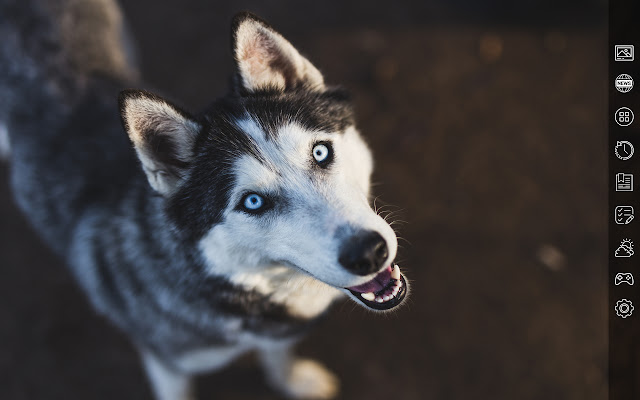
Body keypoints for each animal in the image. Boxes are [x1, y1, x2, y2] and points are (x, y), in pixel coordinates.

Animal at [0, 1, 410, 398]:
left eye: (321, 152)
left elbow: (278, 356)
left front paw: (293, 382)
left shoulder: (275, 336)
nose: (368, 252)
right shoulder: (167, 364)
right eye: (252, 202)